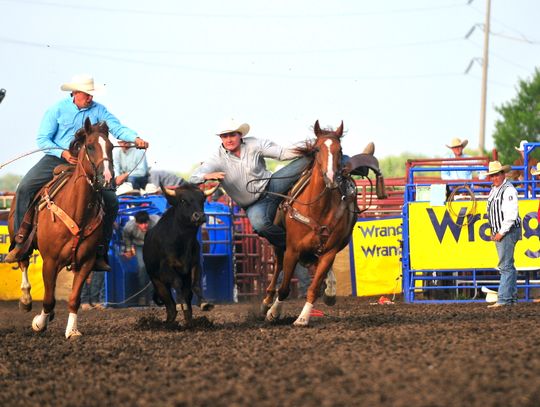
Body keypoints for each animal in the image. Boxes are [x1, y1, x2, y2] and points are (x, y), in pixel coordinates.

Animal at [8, 118, 114, 342]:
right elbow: (48, 299)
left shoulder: (86, 262)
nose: (107, 178)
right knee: (23, 262)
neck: (78, 210)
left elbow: (73, 298)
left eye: (111, 146)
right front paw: (39, 323)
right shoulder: (50, 260)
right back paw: (26, 300)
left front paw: (72, 330)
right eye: (90, 146)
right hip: (20, 238)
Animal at [260, 119, 380, 326]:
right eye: (316, 149)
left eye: (340, 149)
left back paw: (330, 289)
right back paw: (267, 301)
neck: (318, 208)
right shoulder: (292, 249)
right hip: (278, 244)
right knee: (278, 268)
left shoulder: (330, 251)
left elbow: (314, 288)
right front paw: (274, 312)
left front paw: (302, 318)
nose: (331, 177)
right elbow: (284, 287)